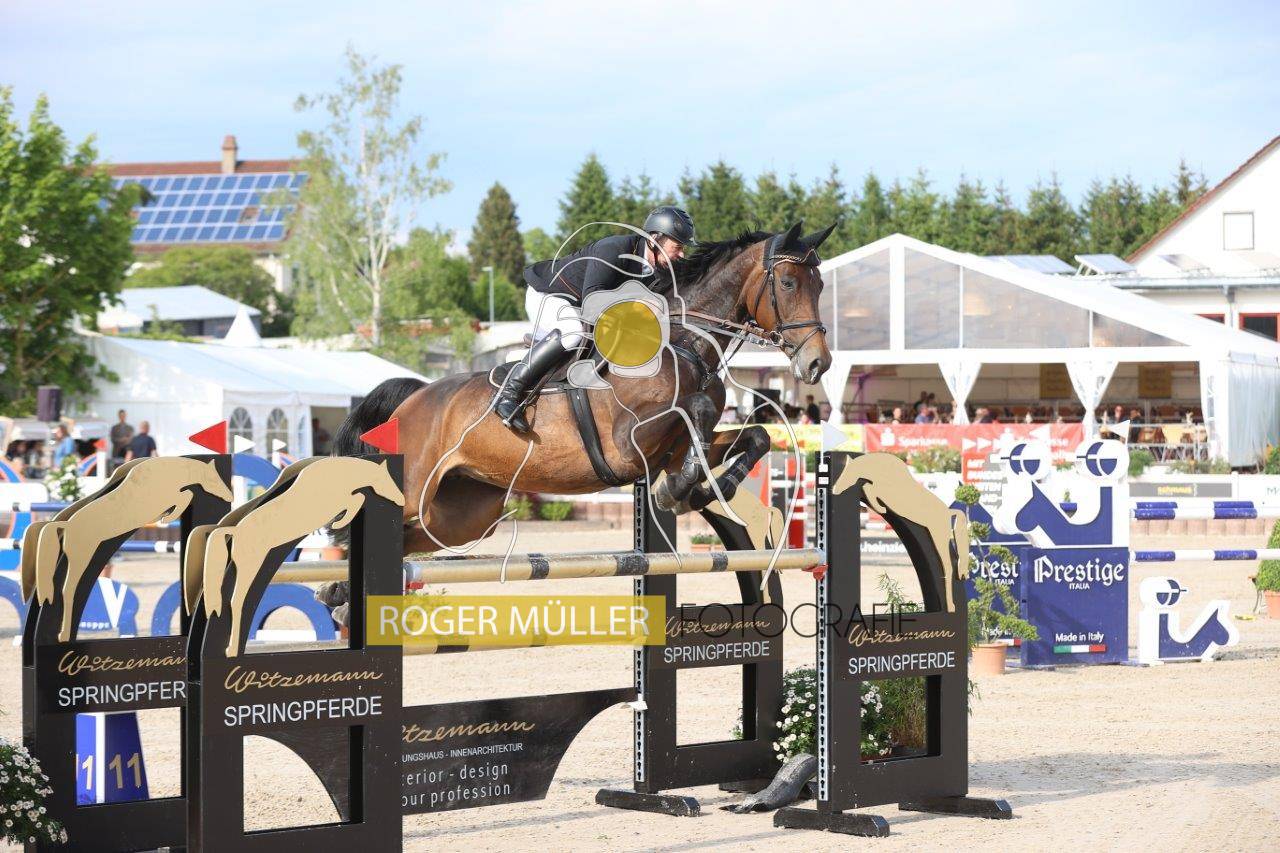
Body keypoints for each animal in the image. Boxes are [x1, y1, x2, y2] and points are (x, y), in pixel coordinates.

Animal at [334, 222, 836, 557]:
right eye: (787, 283)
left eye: (821, 285)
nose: (818, 363)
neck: (683, 345)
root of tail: (414, 397)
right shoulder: (626, 442)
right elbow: (696, 409)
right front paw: (680, 489)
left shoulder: (669, 448)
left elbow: (754, 436)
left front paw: (706, 487)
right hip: (416, 487)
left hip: (465, 511)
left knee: (412, 541)